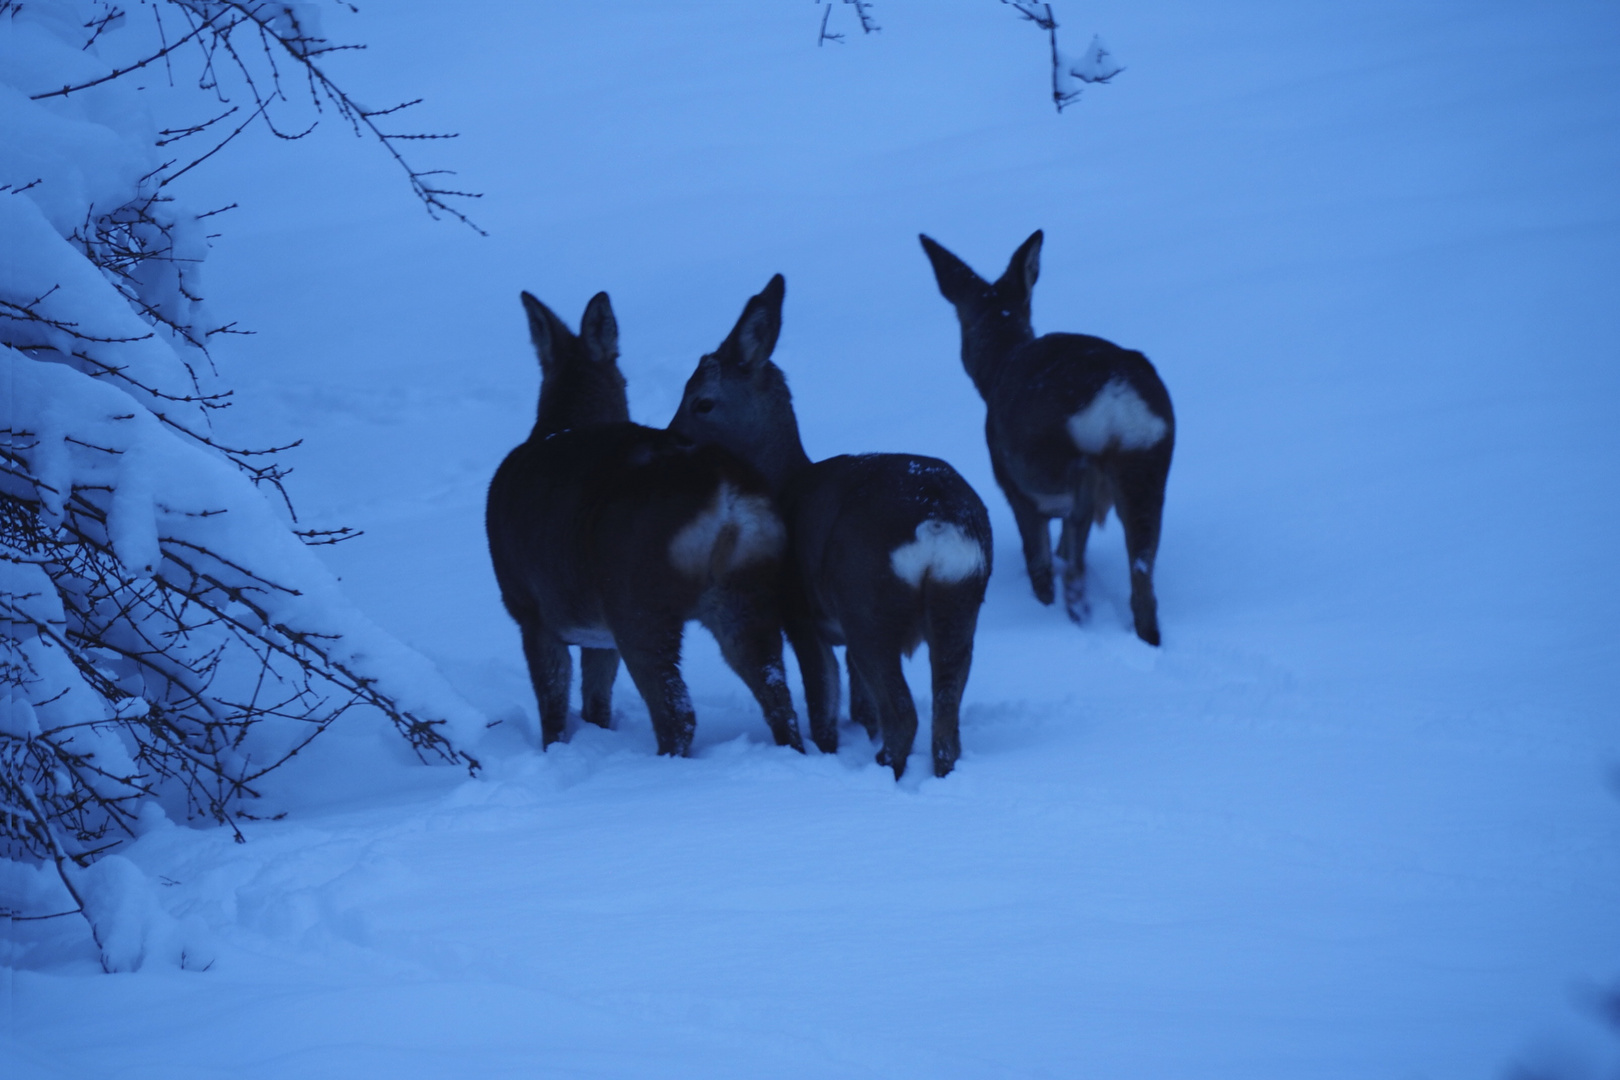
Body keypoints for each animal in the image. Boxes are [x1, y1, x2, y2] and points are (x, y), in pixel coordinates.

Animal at [482, 291, 806, 757]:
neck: (559, 424)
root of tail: (726, 495)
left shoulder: (529, 608)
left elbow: (553, 708)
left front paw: (555, 752)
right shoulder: (597, 633)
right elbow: (596, 704)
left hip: (638, 597)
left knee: (678, 713)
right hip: (748, 590)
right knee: (778, 697)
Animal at [667, 270, 991, 777]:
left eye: (701, 402)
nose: (667, 438)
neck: (784, 480)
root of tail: (938, 522)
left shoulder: (799, 613)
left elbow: (823, 705)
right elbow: (860, 707)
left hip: (867, 602)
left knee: (904, 714)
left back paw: (881, 768)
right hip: (960, 603)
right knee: (944, 720)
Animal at [920, 233, 1172, 647]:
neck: (1000, 362)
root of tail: (1116, 398)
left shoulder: (1015, 489)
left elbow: (1038, 561)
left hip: (1047, 465)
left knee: (1072, 551)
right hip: (1150, 462)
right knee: (1141, 578)